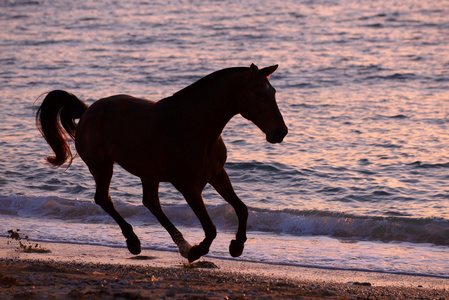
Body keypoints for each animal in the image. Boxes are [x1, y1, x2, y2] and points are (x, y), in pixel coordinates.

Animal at [35, 63, 288, 262]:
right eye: (258, 92)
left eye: (274, 91)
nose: (280, 132)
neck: (194, 126)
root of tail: (88, 111)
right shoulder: (188, 186)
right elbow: (210, 228)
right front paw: (198, 251)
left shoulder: (217, 174)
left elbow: (241, 209)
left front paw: (237, 246)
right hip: (102, 166)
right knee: (104, 199)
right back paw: (135, 241)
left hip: (147, 173)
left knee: (151, 203)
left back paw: (180, 244)